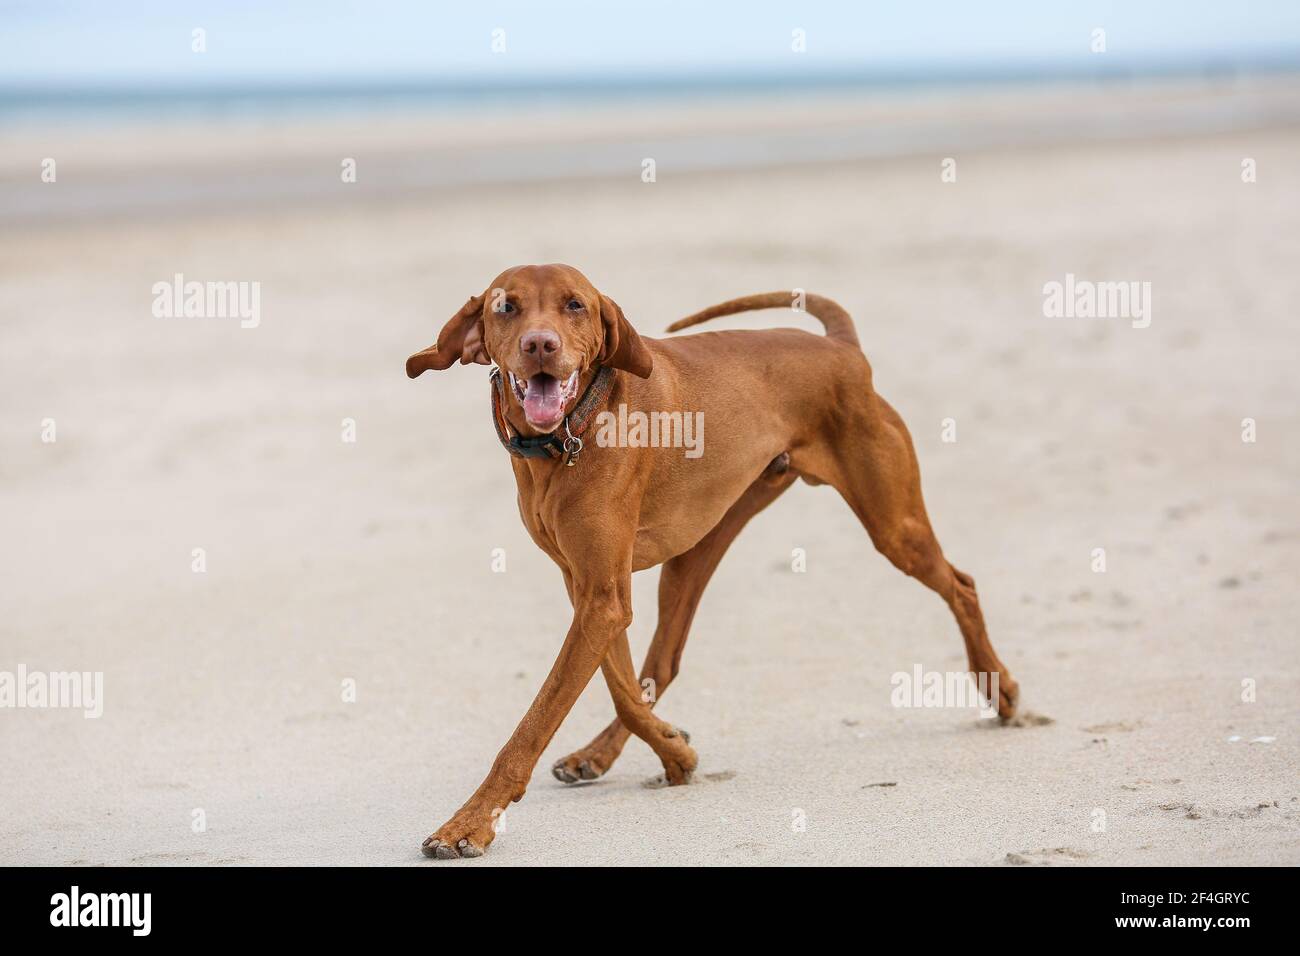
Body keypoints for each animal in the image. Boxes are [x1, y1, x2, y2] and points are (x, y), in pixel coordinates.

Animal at [403, 261, 1013, 858]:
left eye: (574, 304)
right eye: (505, 307)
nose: (540, 345)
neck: (570, 436)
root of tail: (841, 347)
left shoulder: (601, 600)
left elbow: (537, 721)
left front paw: (469, 823)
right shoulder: (591, 591)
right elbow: (622, 689)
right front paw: (674, 751)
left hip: (894, 527)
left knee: (962, 584)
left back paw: (1000, 690)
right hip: (698, 551)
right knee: (664, 661)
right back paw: (602, 754)